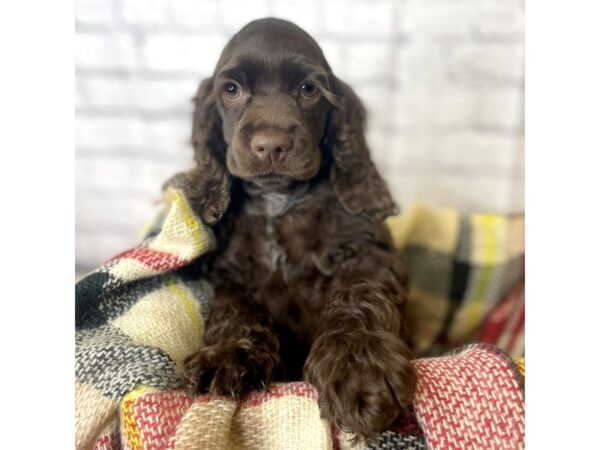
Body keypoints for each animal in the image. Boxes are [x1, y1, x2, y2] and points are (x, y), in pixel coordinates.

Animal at [182, 17, 418, 440]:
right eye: (231, 90)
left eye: (308, 89)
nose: (270, 145)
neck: (280, 201)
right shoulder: (230, 274)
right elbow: (235, 311)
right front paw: (228, 355)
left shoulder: (366, 253)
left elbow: (358, 293)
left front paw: (359, 366)